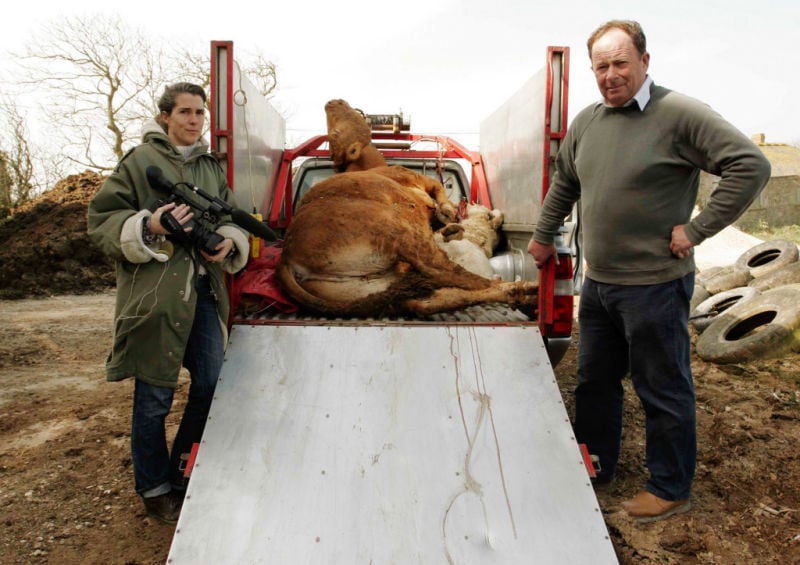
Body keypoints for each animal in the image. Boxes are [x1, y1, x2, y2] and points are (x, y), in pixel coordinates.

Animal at [276, 98, 536, 318]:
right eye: (335, 133)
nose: (332, 101)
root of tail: (287, 258)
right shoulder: (416, 179)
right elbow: (438, 192)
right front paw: (448, 212)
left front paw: (449, 219)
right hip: (400, 235)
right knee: (450, 273)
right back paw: (519, 288)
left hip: (365, 285)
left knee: (429, 300)